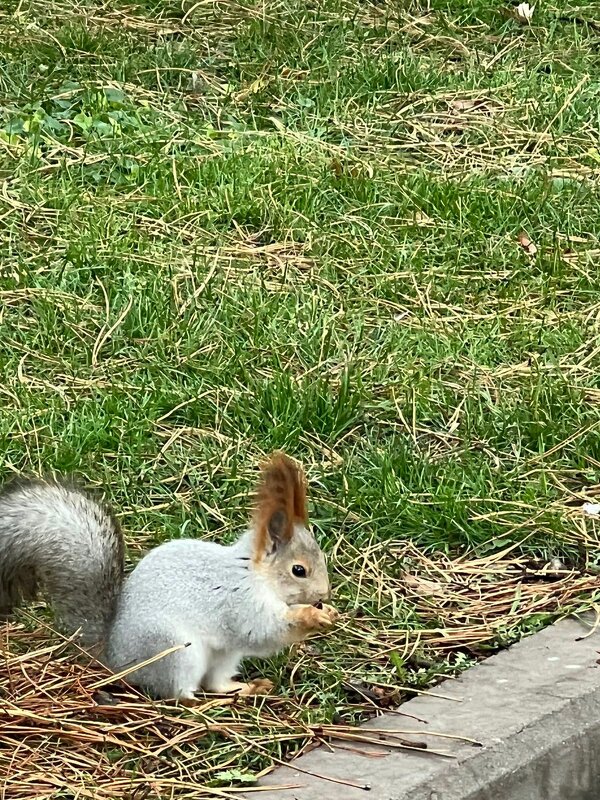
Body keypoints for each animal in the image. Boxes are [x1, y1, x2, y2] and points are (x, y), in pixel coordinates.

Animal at [0, 454, 338, 704]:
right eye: (299, 570)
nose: (324, 594)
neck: (255, 575)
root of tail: (115, 658)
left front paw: (327, 613)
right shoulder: (238, 601)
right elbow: (263, 632)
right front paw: (310, 617)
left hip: (223, 656)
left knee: (215, 682)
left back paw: (244, 689)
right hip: (176, 651)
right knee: (179, 694)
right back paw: (201, 704)